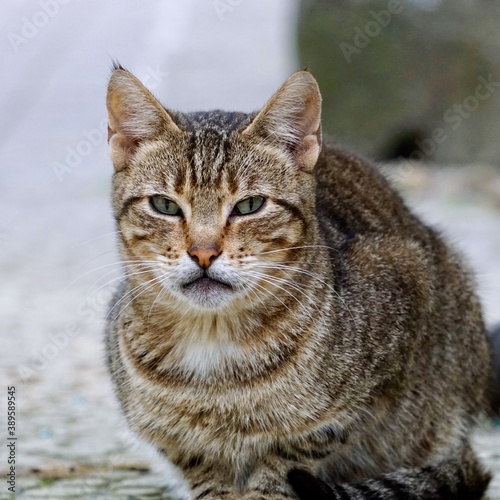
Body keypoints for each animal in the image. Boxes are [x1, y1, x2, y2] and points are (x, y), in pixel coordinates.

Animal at [104, 64, 492, 498]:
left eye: (249, 205)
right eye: (165, 205)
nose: (203, 253)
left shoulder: (352, 398)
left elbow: (287, 461)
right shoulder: (183, 448)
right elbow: (208, 477)